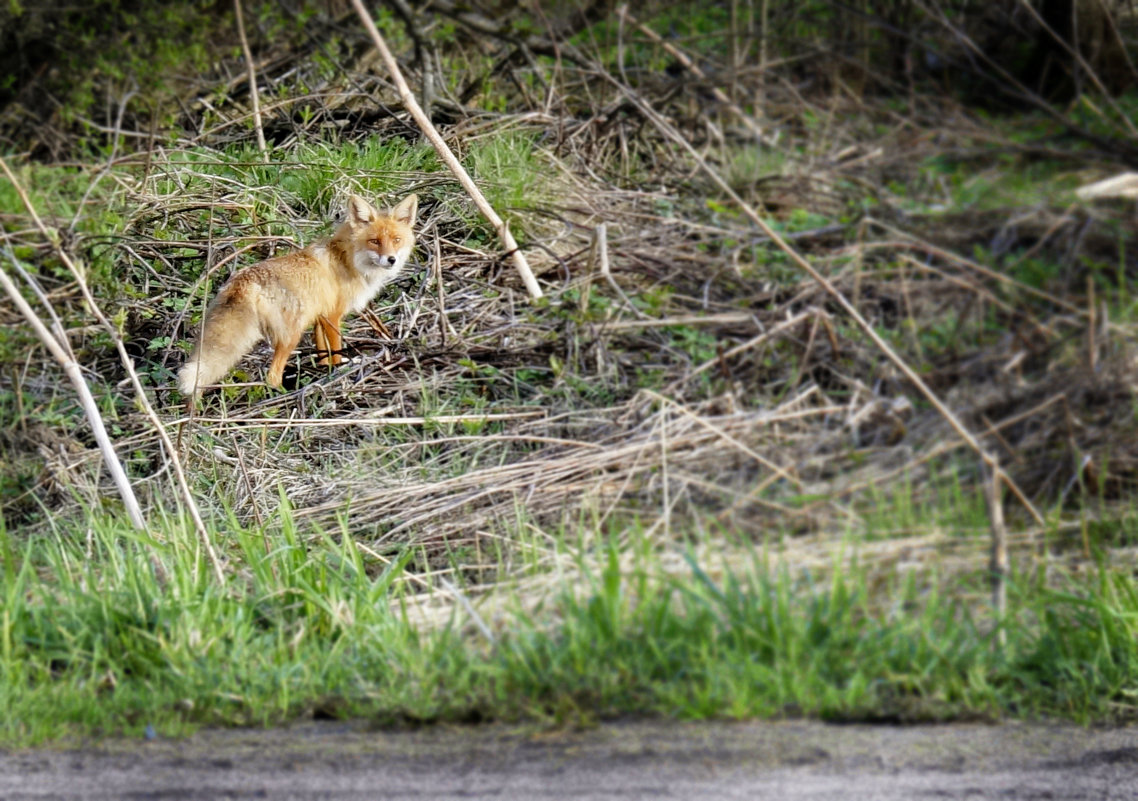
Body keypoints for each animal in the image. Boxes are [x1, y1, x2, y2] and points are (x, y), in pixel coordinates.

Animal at [179, 191, 421, 398]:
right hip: (291, 335)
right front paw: (338, 373)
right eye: (375, 241)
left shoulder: (320, 317)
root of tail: (244, 279)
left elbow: (323, 353)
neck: (347, 259)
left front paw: (325, 372)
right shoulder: (333, 316)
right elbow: (336, 350)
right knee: (273, 376)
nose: (391, 260)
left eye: (396, 240)